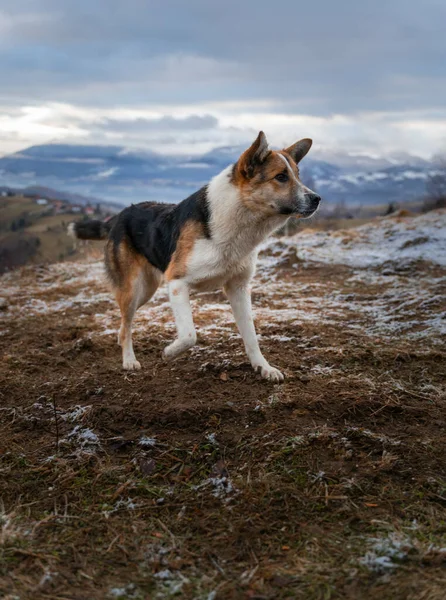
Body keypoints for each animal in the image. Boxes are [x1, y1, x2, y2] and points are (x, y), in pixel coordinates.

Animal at [69, 133, 320, 382]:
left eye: (298, 176)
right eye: (281, 177)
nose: (317, 198)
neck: (237, 219)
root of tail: (119, 216)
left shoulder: (238, 288)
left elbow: (251, 335)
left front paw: (263, 367)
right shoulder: (177, 282)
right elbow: (190, 335)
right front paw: (169, 352)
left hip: (146, 290)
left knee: (124, 325)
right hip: (133, 289)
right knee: (127, 323)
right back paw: (129, 360)